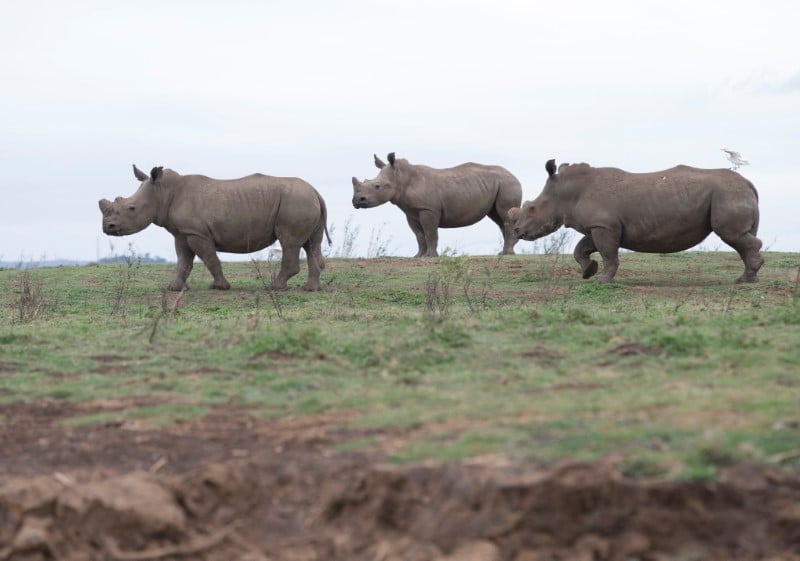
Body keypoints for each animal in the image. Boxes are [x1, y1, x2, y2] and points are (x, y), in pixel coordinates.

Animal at [99, 165, 331, 291]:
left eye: (131, 208)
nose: (107, 227)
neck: (163, 192)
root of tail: (315, 191)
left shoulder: (196, 233)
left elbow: (209, 259)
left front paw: (220, 287)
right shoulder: (182, 233)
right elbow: (183, 262)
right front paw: (174, 288)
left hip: (296, 202)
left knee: (290, 242)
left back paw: (275, 287)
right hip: (303, 201)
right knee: (312, 244)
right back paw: (310, 289)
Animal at [351, 153, 522, 257]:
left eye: (377, 186)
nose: (356, 201)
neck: (401, 178)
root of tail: (513, 174)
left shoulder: (428, 209)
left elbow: (430, 232)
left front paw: (430, 256)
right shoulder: (411, 212)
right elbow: (419, 235)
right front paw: (418, 256)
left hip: (508, 184)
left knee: (505, 215)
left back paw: (506, 254)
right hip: (499, 185)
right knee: (498, 218)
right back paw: (506, 252)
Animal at [509, 159, 764, 284]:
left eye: (531, 208)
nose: (518, 230)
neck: (566, 193)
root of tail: (749, 183)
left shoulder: (604, 226)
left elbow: (609, 255)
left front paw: (602, 281)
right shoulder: (599, 226)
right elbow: (581, 249)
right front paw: (588, 272)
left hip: (727, 194)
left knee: (732, 235)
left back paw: (745, 280)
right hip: (730, 193)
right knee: (740, 239)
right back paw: (747, 278)